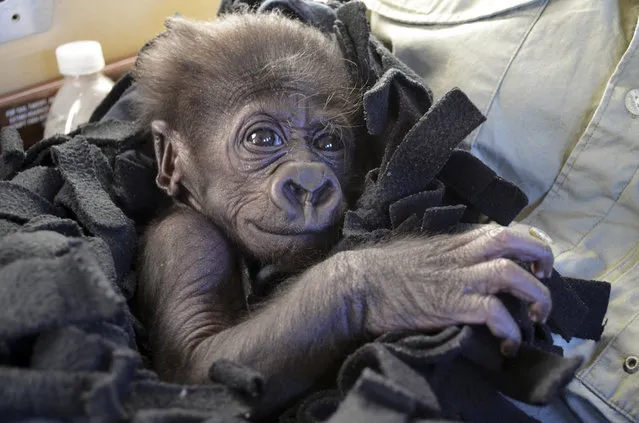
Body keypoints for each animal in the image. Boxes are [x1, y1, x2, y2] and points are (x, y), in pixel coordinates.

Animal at [135, 12, 556, 414]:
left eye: (328, 143)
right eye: (262, 138)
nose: (309, 181)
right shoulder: (186, 239)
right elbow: (200, 367)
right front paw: (402, 277)